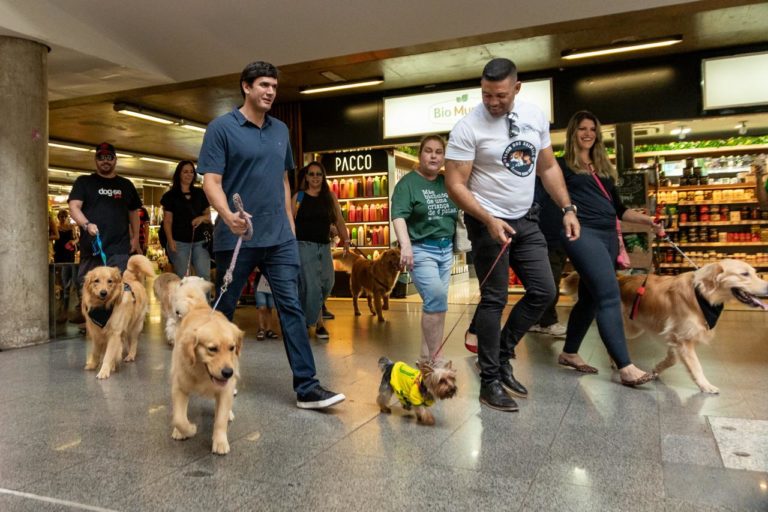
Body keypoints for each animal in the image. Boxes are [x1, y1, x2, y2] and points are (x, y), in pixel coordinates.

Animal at [171, 298, 243, 454]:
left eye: (232, 347)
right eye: (212, 349)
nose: (228, 372)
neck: (202, 372)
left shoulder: (225, 389)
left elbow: (220, 419)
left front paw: (220, 441)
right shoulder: (180, 386)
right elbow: (179, 418)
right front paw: (189, 430)